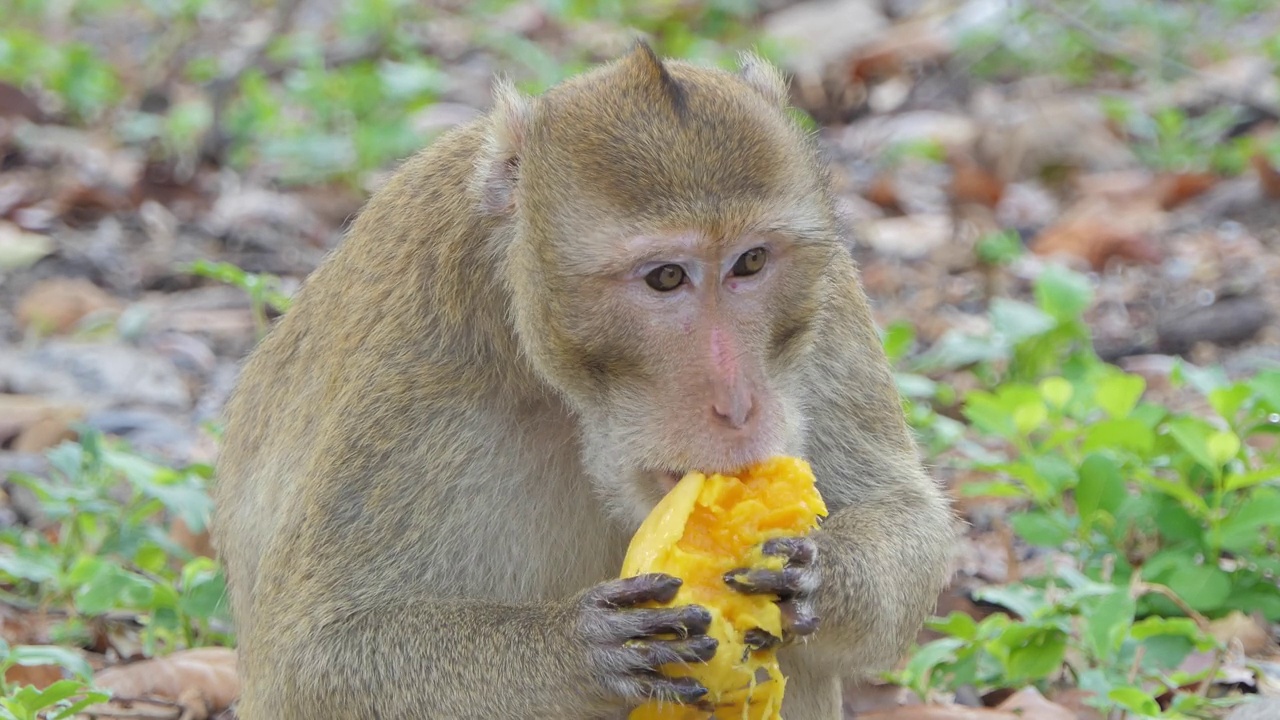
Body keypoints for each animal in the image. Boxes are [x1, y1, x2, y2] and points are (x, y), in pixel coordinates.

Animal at [209, 40, 957, 717]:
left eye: (749, 262)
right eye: (666, 277)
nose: (739, 403)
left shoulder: (829, 304)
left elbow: (908, 516)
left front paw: (814, 576)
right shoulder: (412, 371)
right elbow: (312, 660)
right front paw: (579, 652)